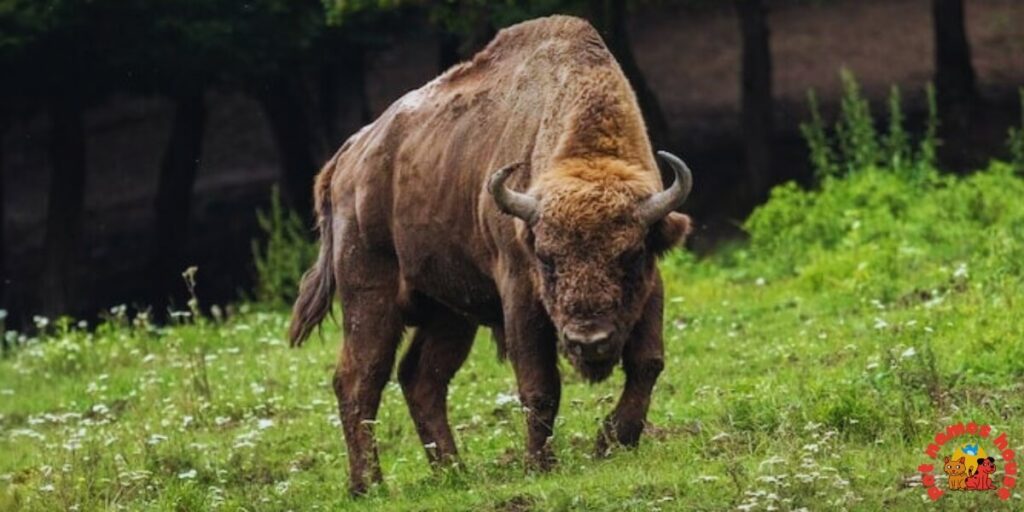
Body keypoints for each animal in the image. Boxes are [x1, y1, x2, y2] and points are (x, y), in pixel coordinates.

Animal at [288, 15, 694, 495]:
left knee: (421, 378)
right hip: (369, 297)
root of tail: (346, 160)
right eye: (546, 258)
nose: (587, 341)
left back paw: (453, 471)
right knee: (359, 379)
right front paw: (540, 465)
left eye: (629, 256)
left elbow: (647, 363)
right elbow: (539, 385)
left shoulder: (650, 286)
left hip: (448, 313)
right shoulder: (520, 294)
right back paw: (369, 485)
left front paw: (611, 443)